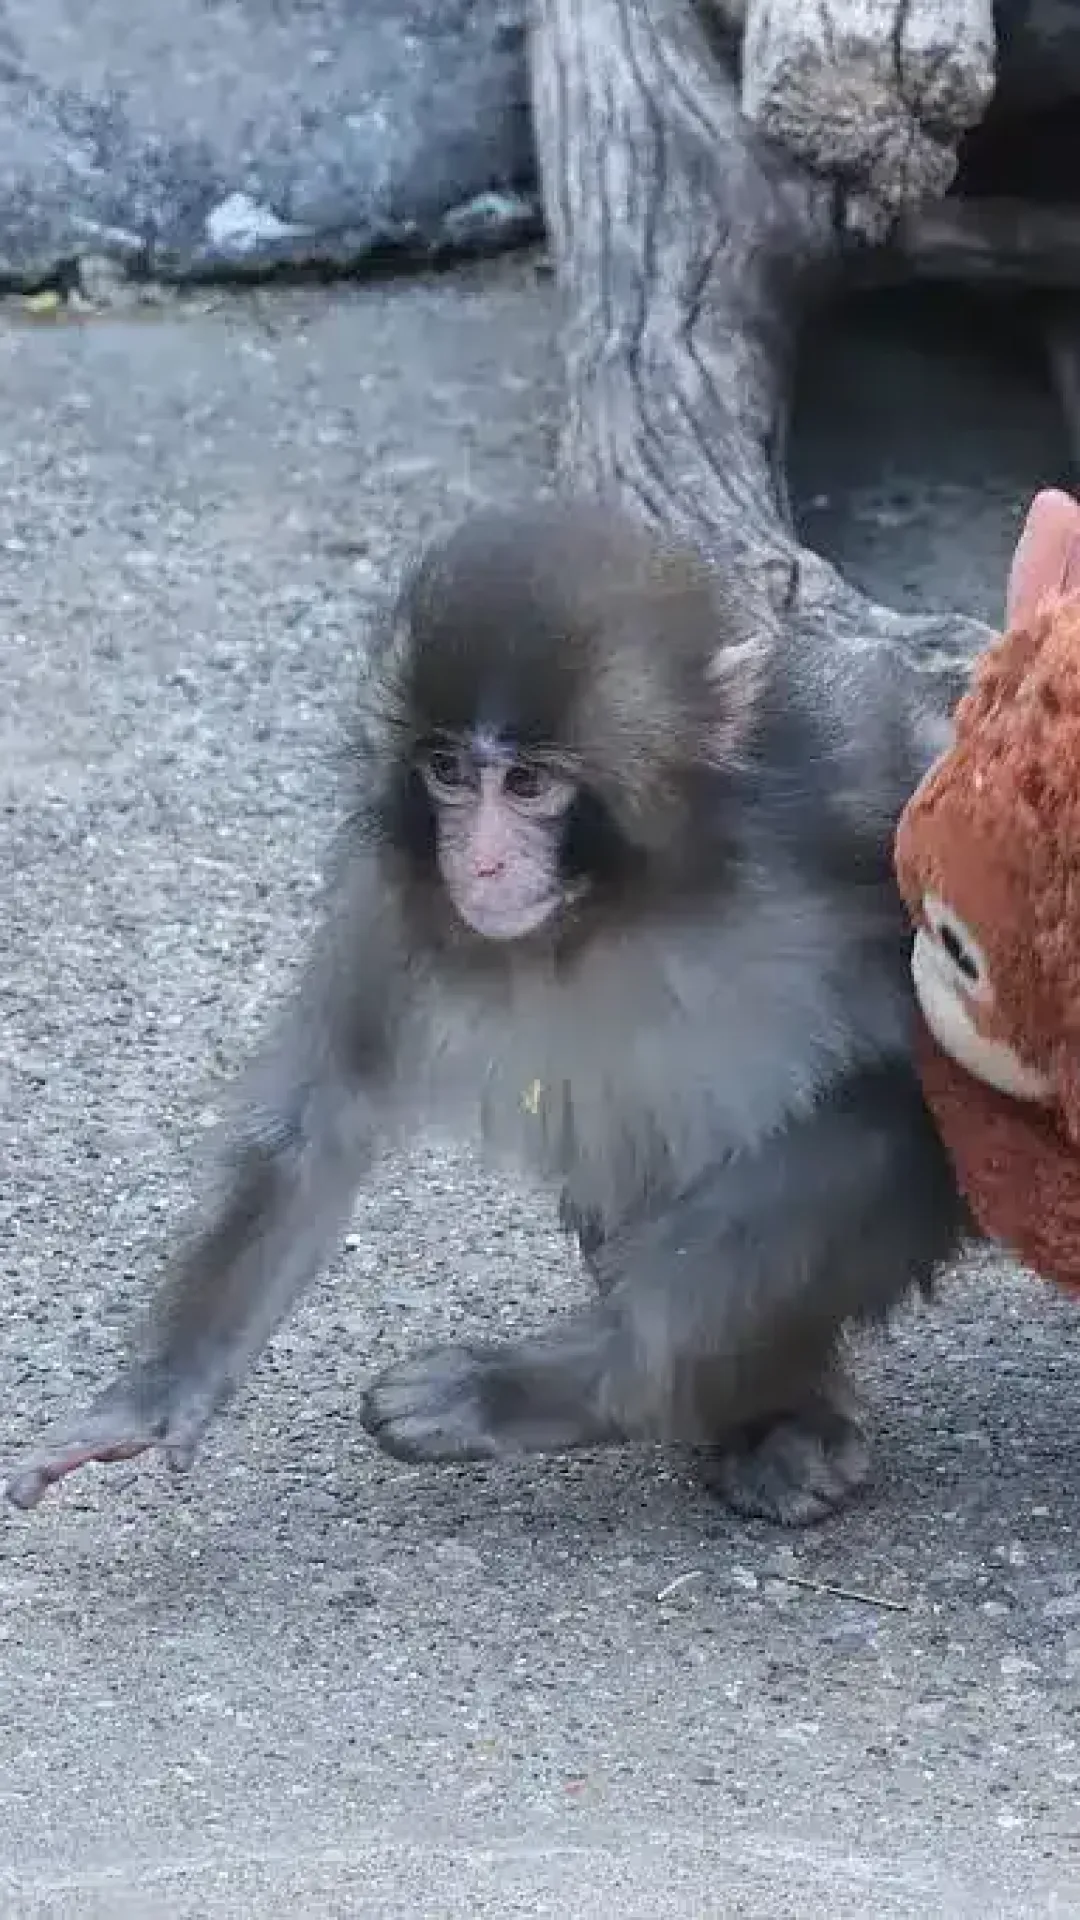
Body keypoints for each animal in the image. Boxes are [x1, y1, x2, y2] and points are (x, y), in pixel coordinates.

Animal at [4, 498, 970, 1526]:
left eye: (530, 784)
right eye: (447, 773)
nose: (483, 862)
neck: (622, 901)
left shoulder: (846, 786)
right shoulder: (391, 891)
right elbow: (320, 1121)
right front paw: (157, 1394)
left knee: (878, 1125)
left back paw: (580, 1384)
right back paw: (761, 1414)